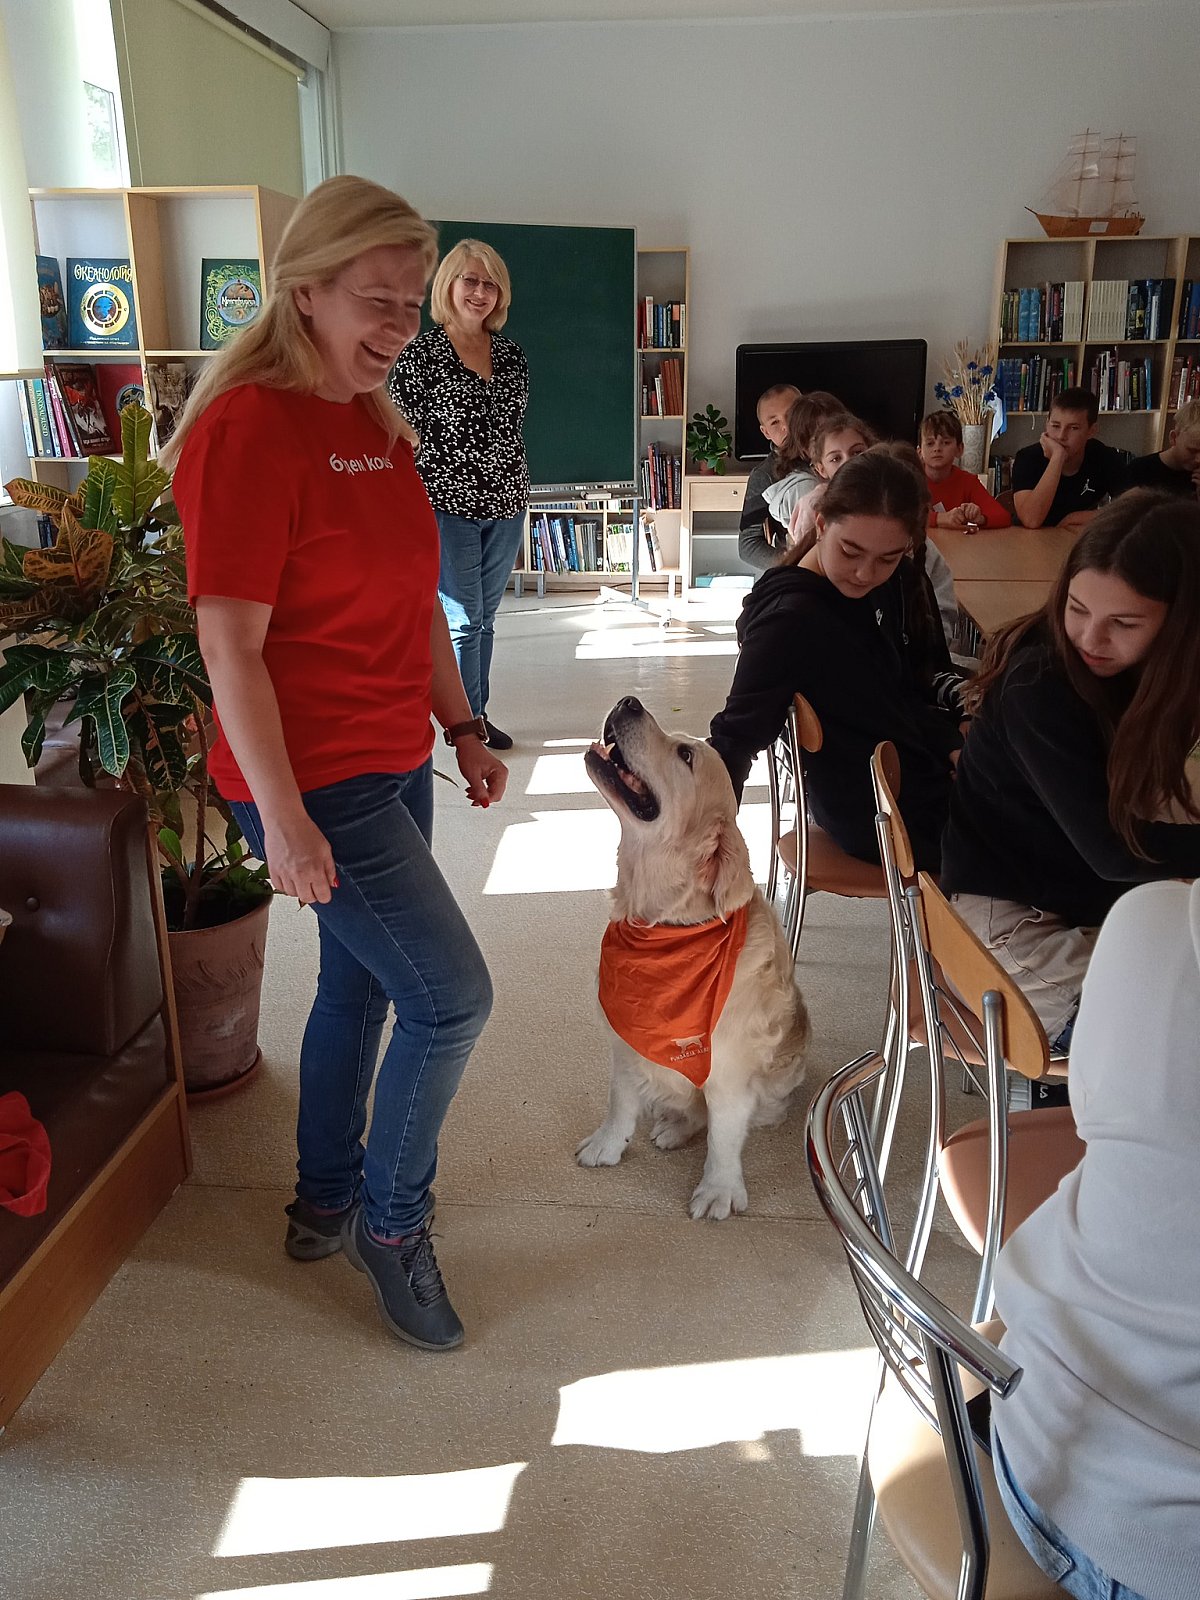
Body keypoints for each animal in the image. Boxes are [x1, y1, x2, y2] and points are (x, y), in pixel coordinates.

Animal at [577, 696, 810, 1219]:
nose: (628, 702)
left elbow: (724, 1135)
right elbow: (619, 1100)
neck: (663, 924)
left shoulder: (728, 1067)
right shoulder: (625, 1041)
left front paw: (718, 1188)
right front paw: (607, 1144)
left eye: (685, 755)